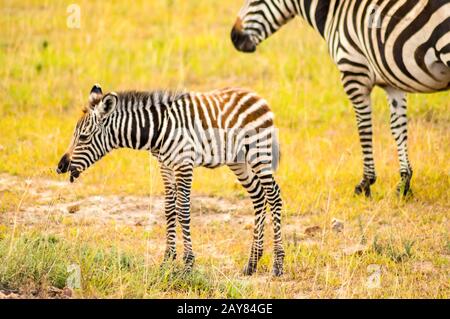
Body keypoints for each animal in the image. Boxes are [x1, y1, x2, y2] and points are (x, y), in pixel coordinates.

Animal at [56, 85, 284, 278]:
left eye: (83, 137)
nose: (60, 167)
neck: (157, 130)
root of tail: (256, 95)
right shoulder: (165, 165)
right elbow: (169, 209)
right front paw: (167, 261)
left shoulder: (184, 163)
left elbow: (183, 210)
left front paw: (188, 264)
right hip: (238, 161)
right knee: (258, 196)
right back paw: (252, 264)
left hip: (258, 153)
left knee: (274, 196)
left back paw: (278, 265)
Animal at [232, 0, 450, 198]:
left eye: (254, 0)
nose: (233, 37)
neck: (334, 10)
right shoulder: (393, 83)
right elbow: (398, 128)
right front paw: (404, 184)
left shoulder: (353, 73)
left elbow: (364, 129)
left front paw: (365, 183)